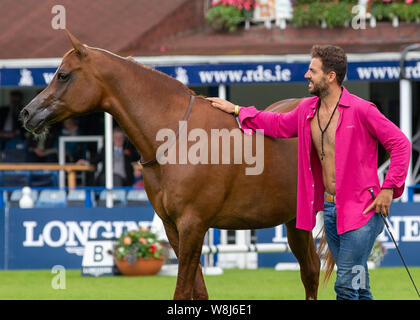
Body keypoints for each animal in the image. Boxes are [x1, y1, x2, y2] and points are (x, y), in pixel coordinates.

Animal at [20, 31, 318, 298]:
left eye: (63, 74)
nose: (26, 113)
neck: (179, 139)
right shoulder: (173, 227)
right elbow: (198, 291)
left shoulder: (193, 225)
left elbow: (183, 290)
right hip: (295, 222)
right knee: (311, 271)